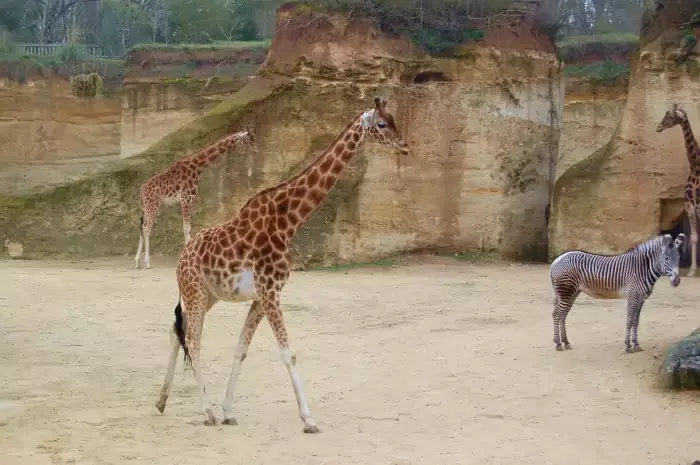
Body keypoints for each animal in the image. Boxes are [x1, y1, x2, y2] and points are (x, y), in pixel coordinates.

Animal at [133, 129, 256, 270]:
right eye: (248, 140)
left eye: (253, 138)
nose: (256, 150)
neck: (197, 166)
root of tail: (141, 190)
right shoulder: (186, 198)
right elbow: (186, 227)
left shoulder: (188, 200)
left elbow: (189, 227)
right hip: (152, 206)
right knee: (146, 228)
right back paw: (147, 262)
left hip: (148, 207)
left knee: (142, 227)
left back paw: (137, 261)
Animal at [154, 95, 410, 432]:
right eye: (381, 124)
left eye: (393, 119)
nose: (405, 146)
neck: (289, 221)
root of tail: (181, 258)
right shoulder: (269, 291)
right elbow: (289, 353)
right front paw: (308, 418)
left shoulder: (263, 296)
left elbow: (242, 349)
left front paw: (228, 411)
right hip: (195, 292)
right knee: (193, 341)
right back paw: (205, 412)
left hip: (206, 295)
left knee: (177, 331)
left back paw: (162, 402)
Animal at [548, 232, 684, 352]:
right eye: (666, 258)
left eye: (678, 259)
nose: (677, 281)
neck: (643, 269)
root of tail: (557, 260)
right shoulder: (633, 296)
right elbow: (629, 321)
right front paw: (628, 346)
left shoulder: (641, 299)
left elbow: (636, 322)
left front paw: (636, 344)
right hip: (566, 292)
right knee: (556, 314)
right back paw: (558, 343)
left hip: (572, 293)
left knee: (563, 315)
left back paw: (566, 342)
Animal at [656, 102, 700, 276]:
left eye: (671, 116)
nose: (658, 127)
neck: (695, 168)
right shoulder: (690, 204)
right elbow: (694, 237)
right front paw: (692, 271)